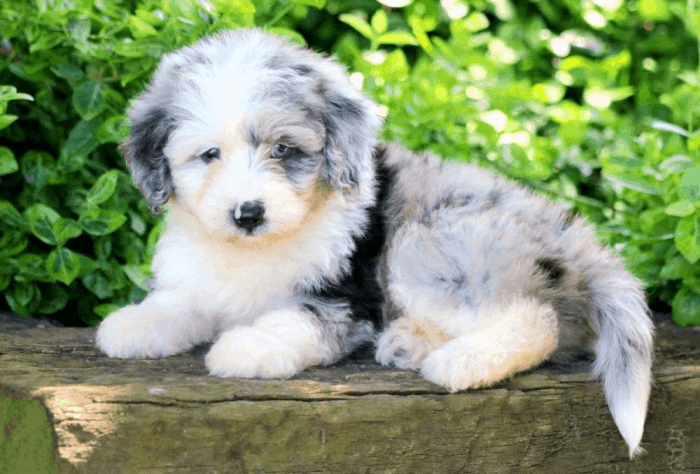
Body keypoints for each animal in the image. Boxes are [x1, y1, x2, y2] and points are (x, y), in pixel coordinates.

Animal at [95, 27, 652, 458]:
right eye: (210, 154)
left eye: (283, 150)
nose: (248, 213)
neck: (255, 249)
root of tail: (576, 238)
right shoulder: (199, 278)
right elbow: (178, 301)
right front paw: (134, 324)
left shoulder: (346, 298)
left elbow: (294, 319)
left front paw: (251, 345)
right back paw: (410, 341)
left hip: (429, 244)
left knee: (535, 319)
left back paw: (459, 361)